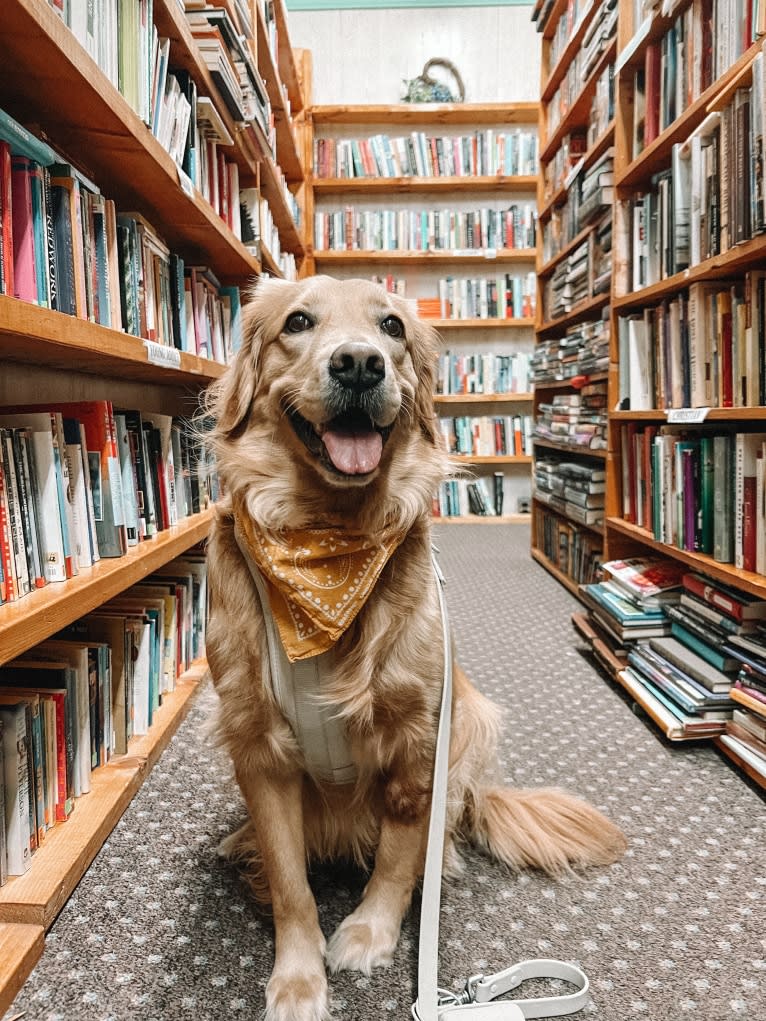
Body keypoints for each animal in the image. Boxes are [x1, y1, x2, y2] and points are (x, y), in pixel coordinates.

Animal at [204, 275, 629, 1021]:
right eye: (298, 322)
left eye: (394, 328)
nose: (359, 364)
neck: (328, 541)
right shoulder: (257, 740)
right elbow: (289, 879)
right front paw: (298, 979)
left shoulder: (420, 736)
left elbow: (401, 859)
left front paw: (370, 933)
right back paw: (240, 839)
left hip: (474, 721)